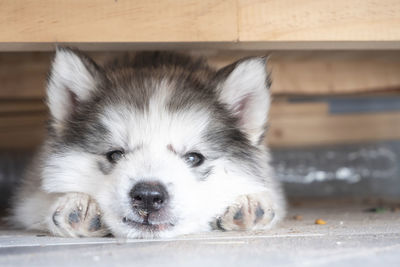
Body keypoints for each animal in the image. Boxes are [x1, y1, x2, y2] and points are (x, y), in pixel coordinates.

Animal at [10, 48, 286, 239]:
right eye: (115, 154)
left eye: (194, 157)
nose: (148, 197)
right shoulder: (28, 198)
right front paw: (78, 204)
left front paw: (249, 203)